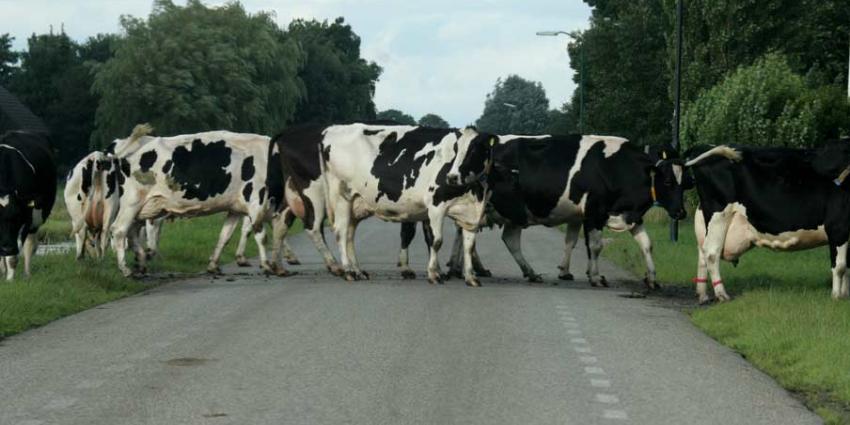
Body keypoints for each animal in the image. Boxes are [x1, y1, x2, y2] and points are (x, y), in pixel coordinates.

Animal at [0, 131, 56, 280]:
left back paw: (27, 274)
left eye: (17, 216)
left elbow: (13, 258)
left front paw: (10, 279)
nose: (7, 248)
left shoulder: (26, 218)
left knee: (30, 246)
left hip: (35, 220)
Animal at [106, 126, 284, 276]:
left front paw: (213, 265)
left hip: (144, 208)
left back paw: (142, 262)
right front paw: (268, 265)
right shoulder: (256, 202)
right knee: (119, 230)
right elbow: (262, 236)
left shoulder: (236, 208)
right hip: (131, 202)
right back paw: (126, 269)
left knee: (132, 231)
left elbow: (225, 236)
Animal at [394, 134, 684, 286]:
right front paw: (595, 276)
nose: (681, 213)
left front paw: (652, 278)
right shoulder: (594, 212)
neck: (612, 166)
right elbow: (595, 246)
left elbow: (645, 244)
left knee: (487, 237)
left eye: (687, 181)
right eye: (669, 182)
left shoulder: (623, 214)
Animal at [684, 144, 844, 304]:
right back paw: (722, 295)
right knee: (711, 252)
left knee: (702, 253)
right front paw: (837, 296)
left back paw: (703, 295)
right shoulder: (838, 226)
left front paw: (844, 293)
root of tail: (702, 146)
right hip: (719, 214)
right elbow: (840, 266)